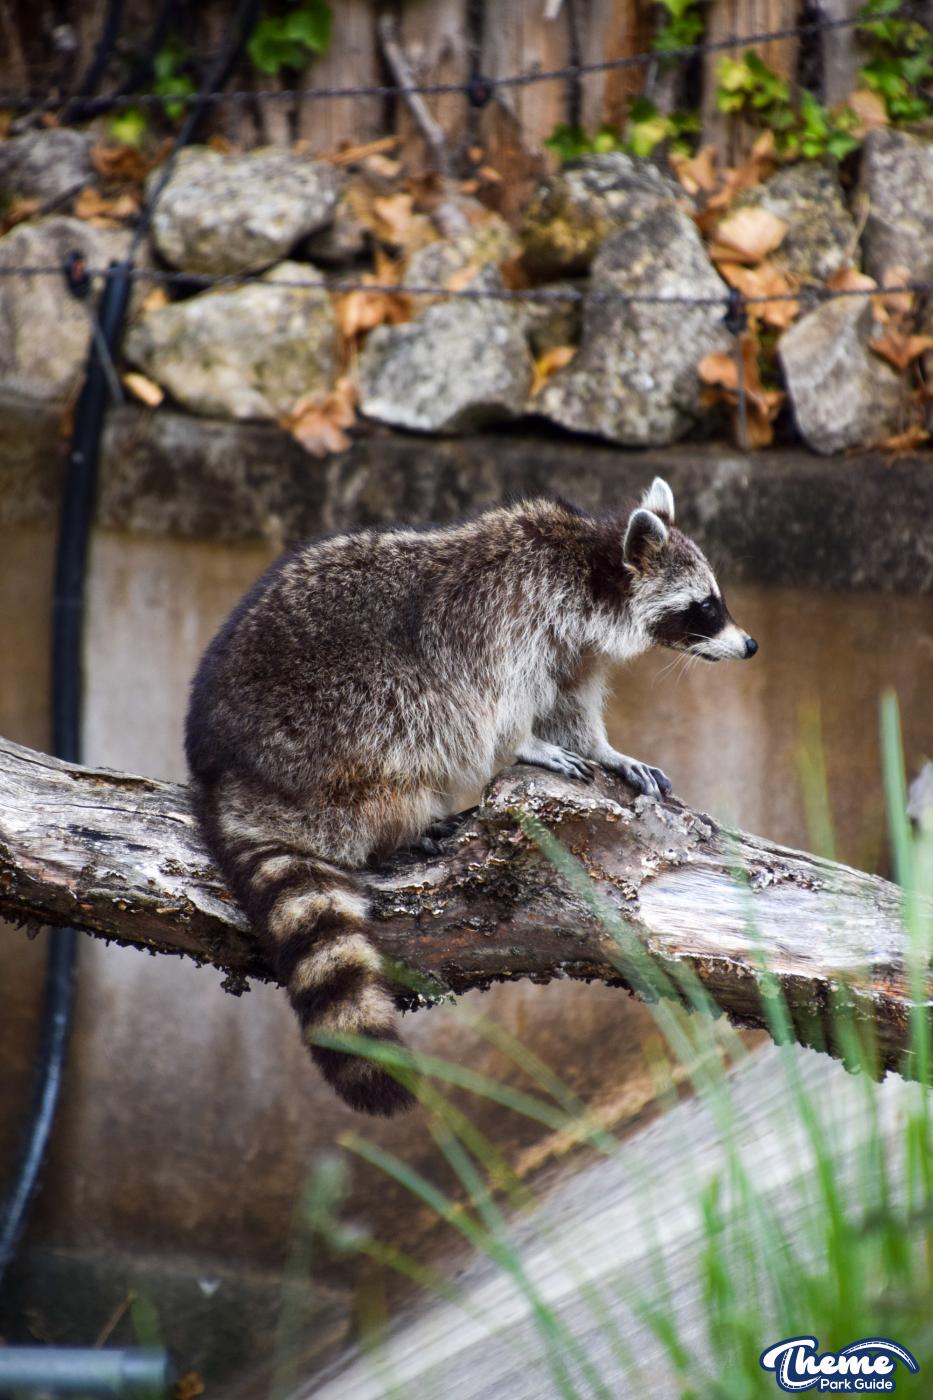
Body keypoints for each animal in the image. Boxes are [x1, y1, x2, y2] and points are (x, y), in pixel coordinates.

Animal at [185, 477, 756, 1116]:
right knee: (406, 721)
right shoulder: (506, 618)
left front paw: (606, 750)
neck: (587, 563)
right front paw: (525, 742)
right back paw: (399, 827)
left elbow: (570, 708)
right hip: (327, 733)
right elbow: (492, 709)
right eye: (705, 607)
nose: (750, 645)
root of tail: (222, 772)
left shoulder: (569, 652)